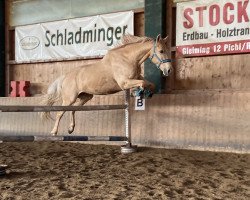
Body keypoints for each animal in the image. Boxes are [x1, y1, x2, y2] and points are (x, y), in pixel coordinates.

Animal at [41, 34, 172, 135]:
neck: (128, 59)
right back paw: (54, 132)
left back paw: (70, 128)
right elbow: (143, 83)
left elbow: (150, 84)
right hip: (69, 99)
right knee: (59, 113)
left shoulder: (135, 78)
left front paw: (144, 93)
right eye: (161, 51)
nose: (169, 70)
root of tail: (66, 76)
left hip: (85, 97)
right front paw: (139, 92)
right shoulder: (124, 83)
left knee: (73, 110)